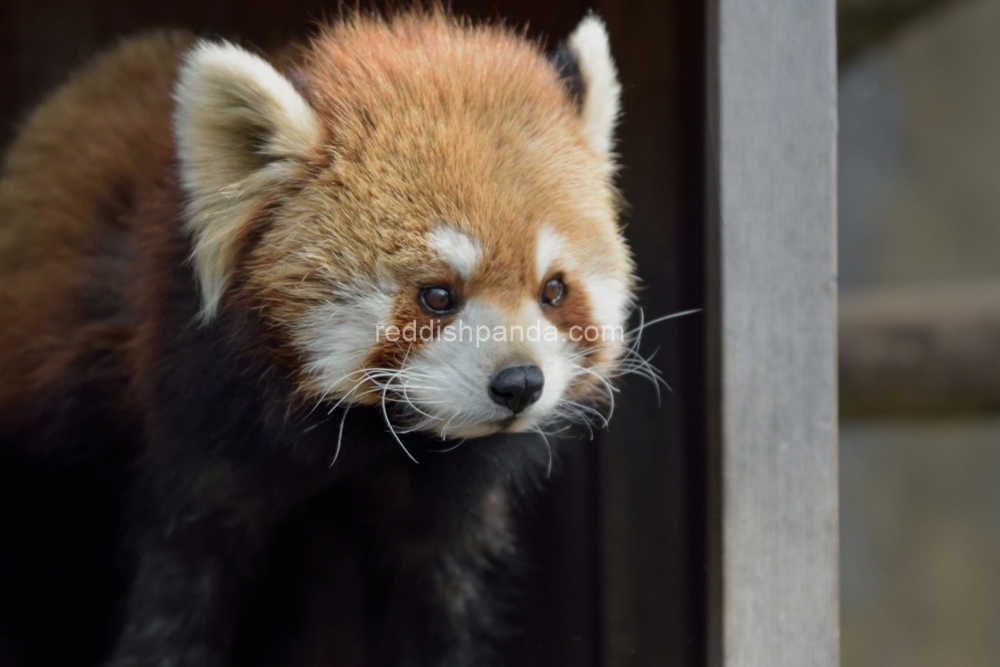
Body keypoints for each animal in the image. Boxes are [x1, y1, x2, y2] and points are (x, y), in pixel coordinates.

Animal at [0, 10, 632, 667]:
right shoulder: (195, 427)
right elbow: (179, 588)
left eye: (553, 290)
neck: (361, 434)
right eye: (437, 295)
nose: (519, 382)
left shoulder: (445, 511)